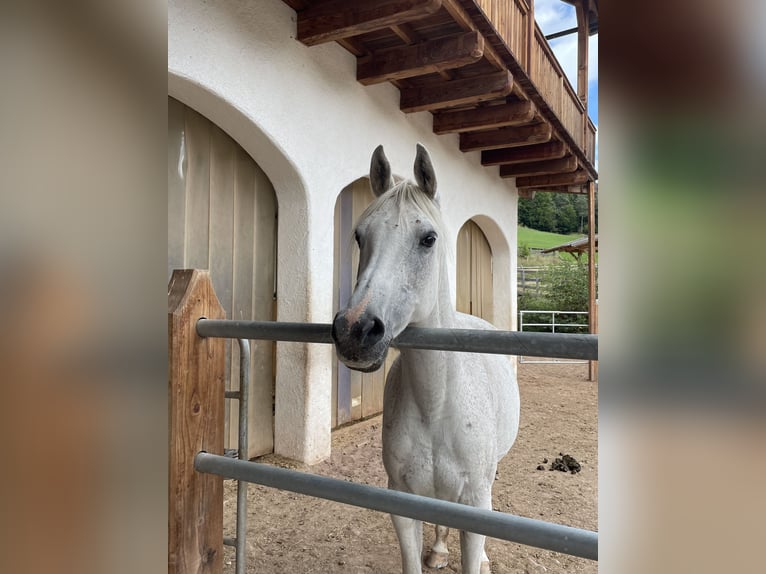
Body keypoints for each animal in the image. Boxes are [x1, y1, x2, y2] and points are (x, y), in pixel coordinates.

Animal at [332, 146, 520, 572]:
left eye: (428, 238)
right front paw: (434, 551)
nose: (355, 331)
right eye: (359, 235)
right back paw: (438, 549)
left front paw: (477, 559)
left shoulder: (475, 502)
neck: (436, 406)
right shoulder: (403, 503)